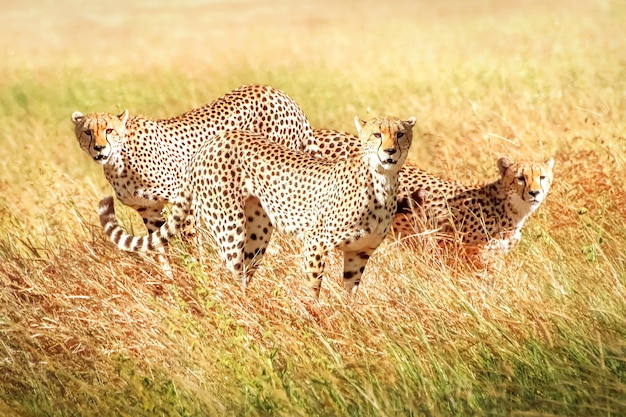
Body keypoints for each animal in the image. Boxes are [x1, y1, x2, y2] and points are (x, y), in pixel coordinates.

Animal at [71, 84, 314, 270]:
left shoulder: (185, 202)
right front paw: (169, 285)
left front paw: (199, 276)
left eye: (109, 130)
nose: (99, 148)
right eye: (87, 132)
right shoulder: (149, 212)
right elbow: (158, 249)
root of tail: (277, 92)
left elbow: (190, 245)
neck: (118, 161)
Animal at [98, 116, 414, 296]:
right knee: (228, 272)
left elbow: (350, 295)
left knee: (244, 271)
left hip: (259, 230)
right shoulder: (315, 243)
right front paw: (315, 322)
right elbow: (313, 290)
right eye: (377, 134)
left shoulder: (359, 253)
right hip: (229, 225)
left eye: (399, 134)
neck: (381, 182)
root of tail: (214, 140)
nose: (389, 151)